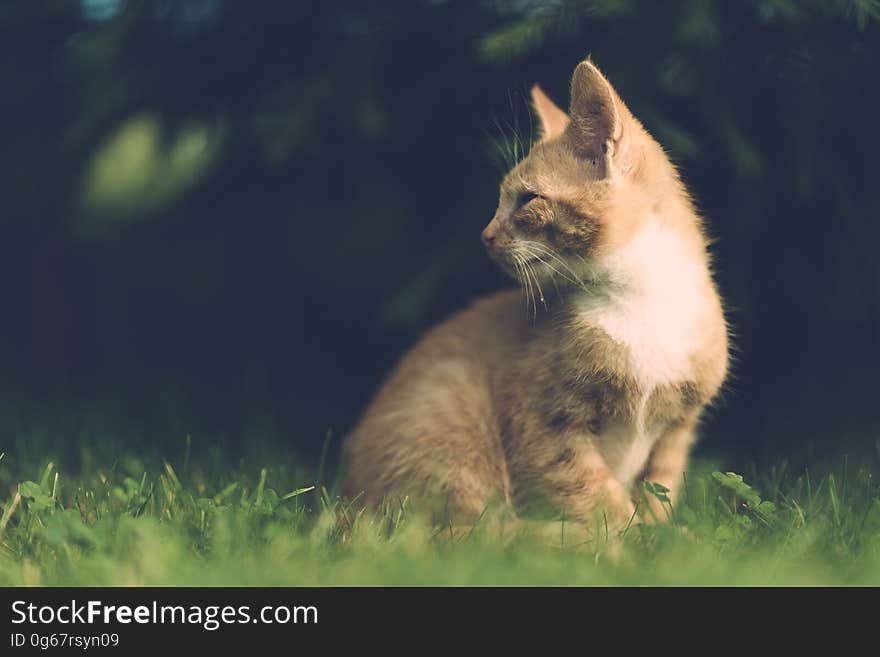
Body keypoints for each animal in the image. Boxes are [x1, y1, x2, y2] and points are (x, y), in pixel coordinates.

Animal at [344, 59, 728, 536]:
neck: (640, 304)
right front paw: (620, 542)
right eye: (500, 198)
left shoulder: (677, 432)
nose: (485, 235)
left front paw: (657, 538)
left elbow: (660, 492)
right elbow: (596, 499)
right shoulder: (543, 426)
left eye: (527, 198)